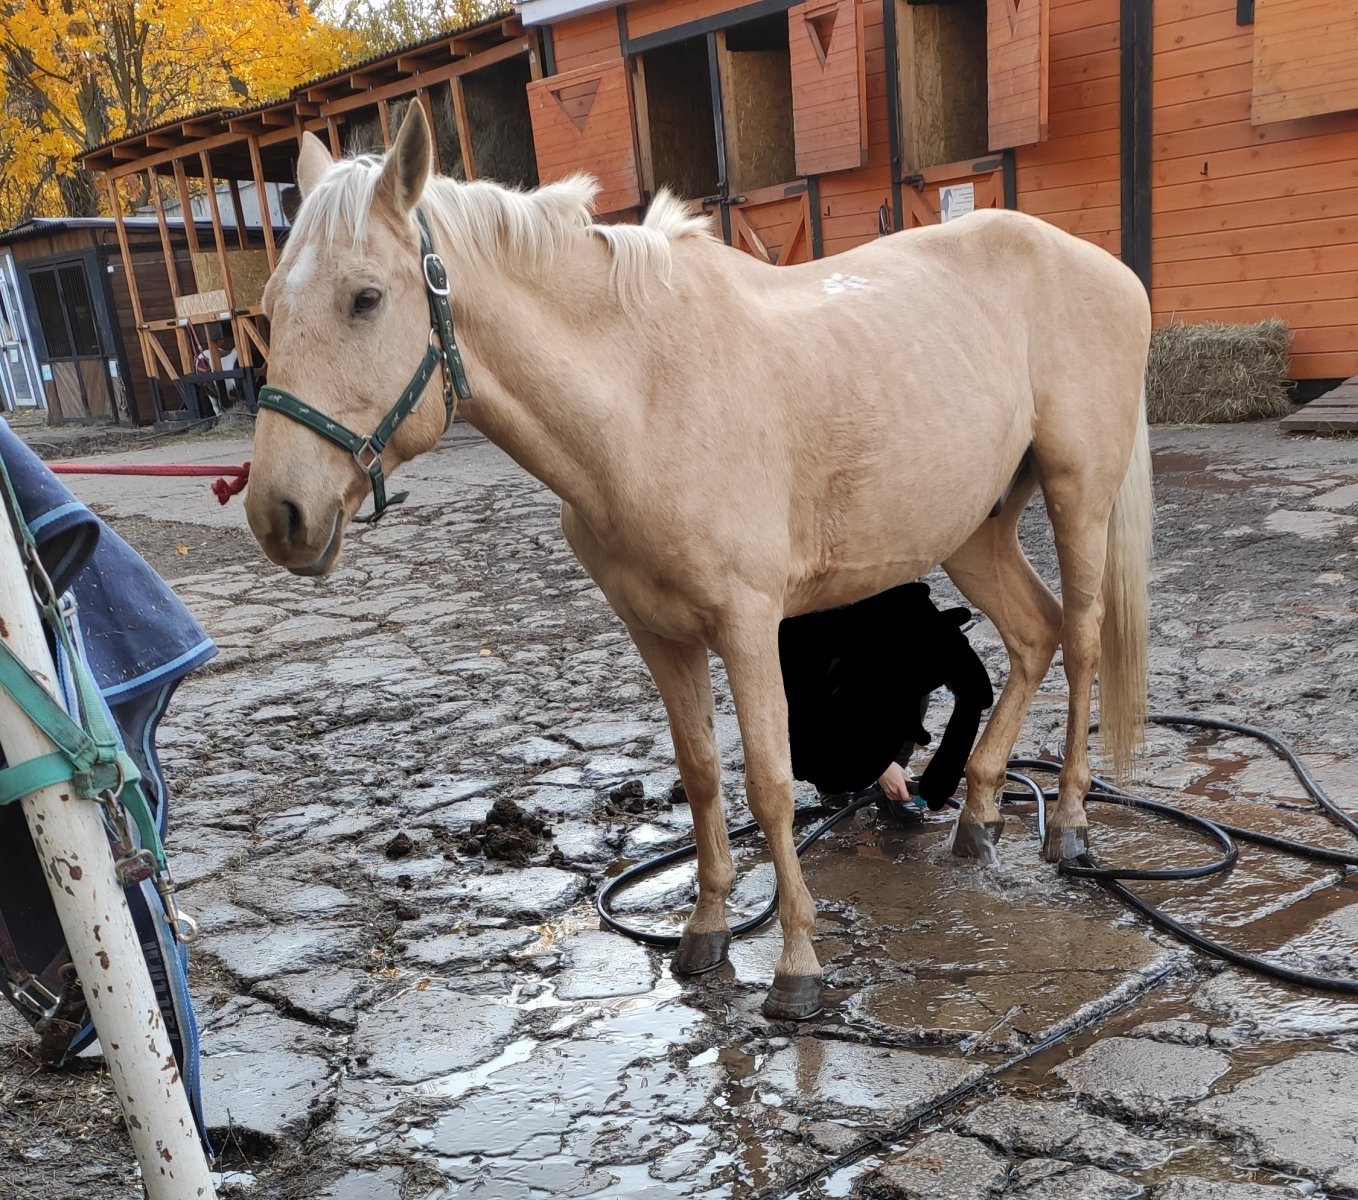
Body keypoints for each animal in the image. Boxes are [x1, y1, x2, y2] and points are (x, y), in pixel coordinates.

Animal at [244, 105, 1146, 1020]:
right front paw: (706, 930)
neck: (645, 396)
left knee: (1081, 638)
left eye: (365, 299)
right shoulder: (658, 633)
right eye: (272, 308)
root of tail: (1109, 271)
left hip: (1078, 494)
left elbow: (769, 783)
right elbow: (703, 773)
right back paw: (978, 815)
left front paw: (797, 965)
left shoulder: (747, 626)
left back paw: (1070, 827)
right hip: (973, 530)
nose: (278, 515)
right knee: (1033, 636)